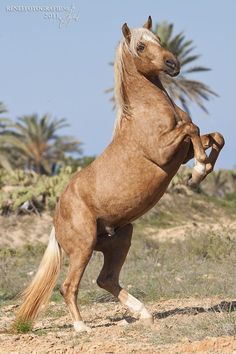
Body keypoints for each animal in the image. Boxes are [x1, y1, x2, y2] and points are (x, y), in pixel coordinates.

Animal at [14, 16, 225, 332]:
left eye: (159, 39)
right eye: (140, 46)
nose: (173, 63)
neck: (144, 114)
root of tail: (56, 217)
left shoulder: (182, 152)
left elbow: (214, 136)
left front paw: (199, 173)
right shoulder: (165, 152)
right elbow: (193, 128)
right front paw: (199, 171)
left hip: (121, 238)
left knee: (106, 279)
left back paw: (143, 314)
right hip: (83, 248)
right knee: (68, 286)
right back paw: (81, 327)